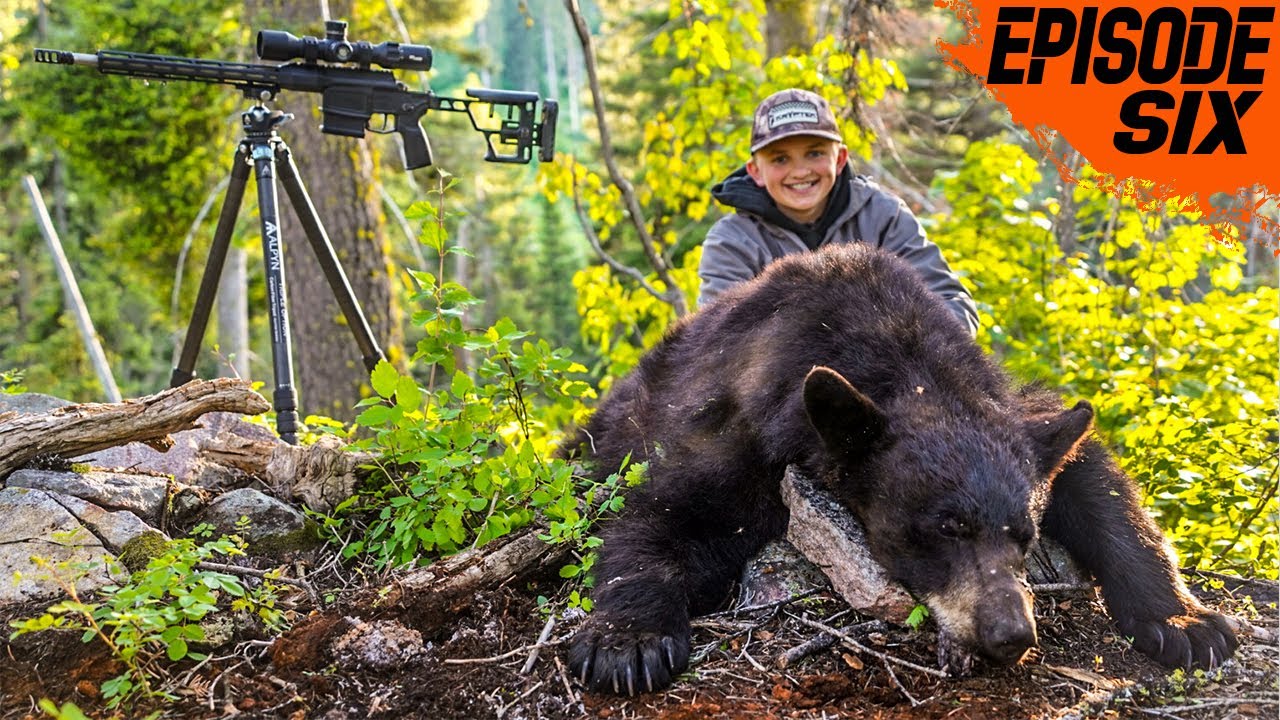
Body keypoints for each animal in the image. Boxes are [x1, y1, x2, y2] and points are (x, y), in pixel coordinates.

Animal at [565, 242, 1238, 696]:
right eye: (946, 527)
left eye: (1023, 535)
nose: (1010, 632)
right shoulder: (755, 435)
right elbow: (663, 515)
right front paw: (628, 645)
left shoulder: (1013, 416)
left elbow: (1099, 483)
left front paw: (1187, 622)